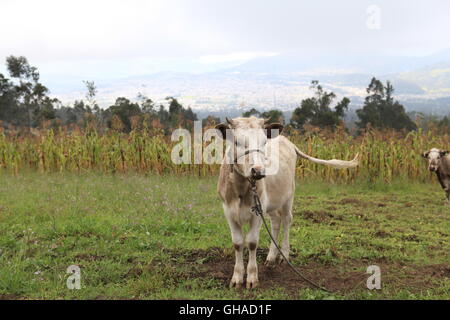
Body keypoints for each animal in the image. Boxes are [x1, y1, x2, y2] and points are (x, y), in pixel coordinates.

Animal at [214, 117, 358, 290]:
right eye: (237, 142)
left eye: (264, 142)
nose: (258, 171)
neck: (241, 189)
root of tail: (287, 141)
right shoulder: (229, 211)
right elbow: (237, 243)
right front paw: (236, 278)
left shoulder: (257, 212)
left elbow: (252, 242)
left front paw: (252, 277)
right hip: (272, 203)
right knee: (276, 222)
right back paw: (271, 257)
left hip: (288, 197)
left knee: (287, 221)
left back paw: (284, 255)